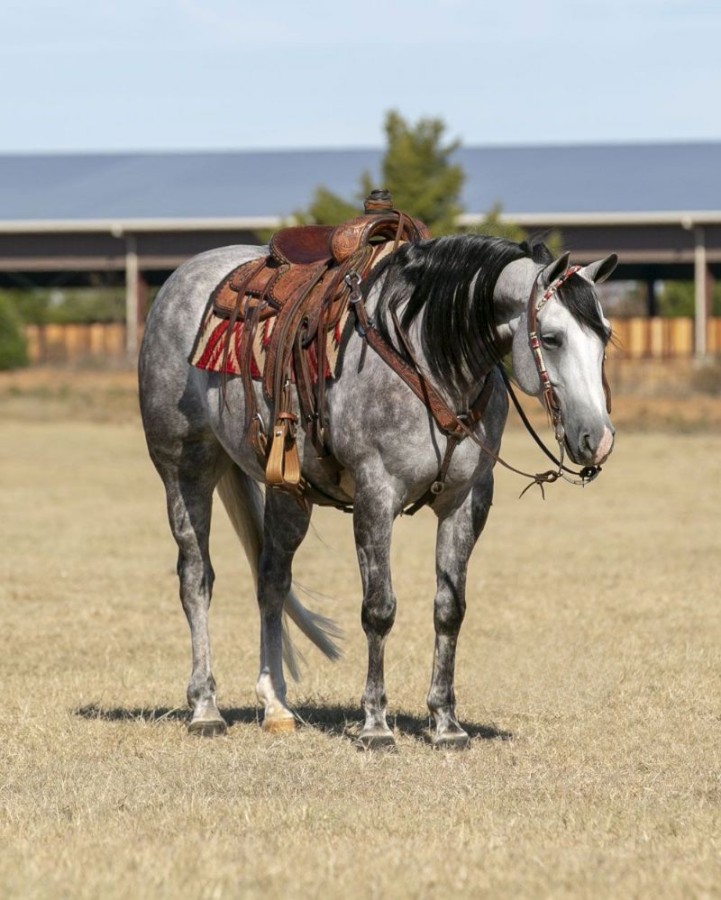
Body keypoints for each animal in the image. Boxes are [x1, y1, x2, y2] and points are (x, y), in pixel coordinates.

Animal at [138, 232, 617, 748]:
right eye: (552, 338)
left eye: (604, 336)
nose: (598, 439)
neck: (431, 362)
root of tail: (184, 277)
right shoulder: (376, 495)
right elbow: (379, 609)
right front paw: (375, 723)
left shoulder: (467, 501)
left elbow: (450, 609)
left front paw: (445, 723)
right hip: (185, 468)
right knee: (196, 578)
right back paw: (205, 708)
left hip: (289, 493)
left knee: (271, 581)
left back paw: (276, 705)